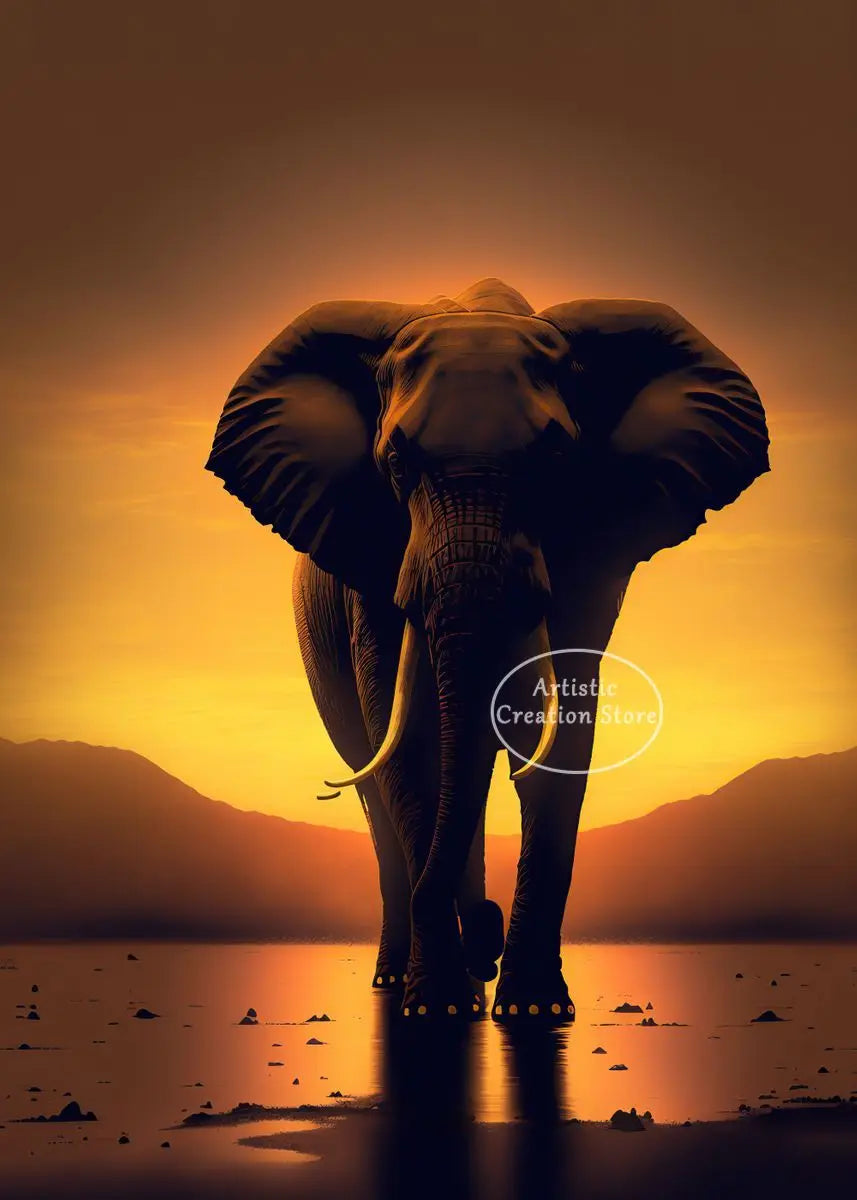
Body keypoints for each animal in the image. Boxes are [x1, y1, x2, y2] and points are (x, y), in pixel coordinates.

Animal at [206, 278, 769, 1022]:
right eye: (395, 463)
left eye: (556, 462)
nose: (488, 935)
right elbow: (407, 734)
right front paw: (437, 1009)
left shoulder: (592, 553)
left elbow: (561, 728)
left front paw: (533, 1010)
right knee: (372, 782)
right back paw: (396, 981)